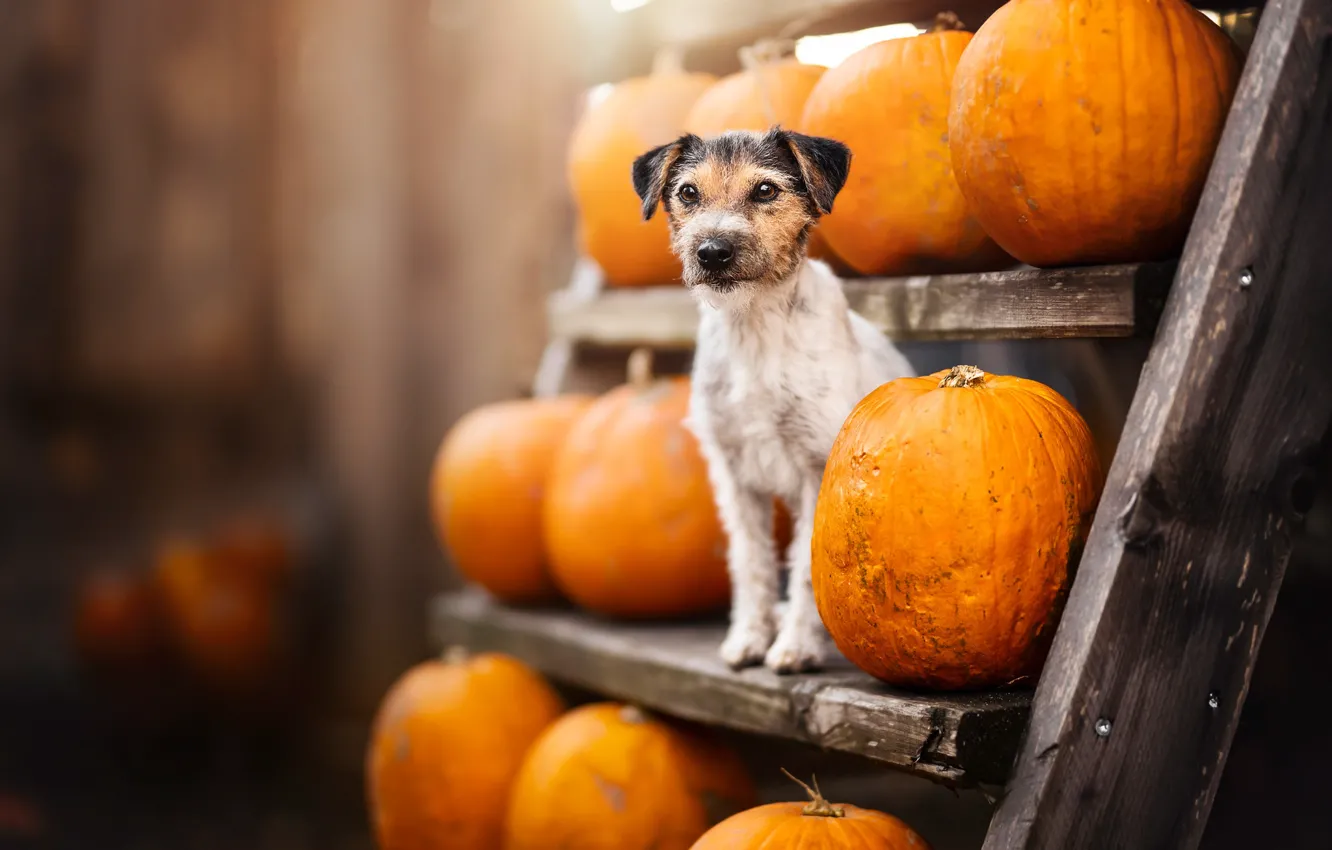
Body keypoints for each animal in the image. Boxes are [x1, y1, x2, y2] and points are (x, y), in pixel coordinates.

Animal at [628, 127, 911, 671]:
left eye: (765, 190)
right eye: (688, 193)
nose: (712, 251)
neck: (755, 325)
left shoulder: (816, 468)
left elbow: (803, 566)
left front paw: (796, 646)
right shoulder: (735, 475)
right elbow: (751, 562)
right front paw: (750, 638)